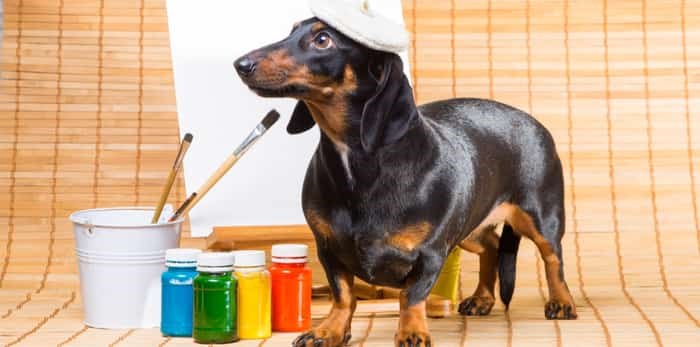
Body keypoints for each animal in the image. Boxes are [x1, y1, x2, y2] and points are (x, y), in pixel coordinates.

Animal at [234, 18, 576, 347]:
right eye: (291, 31)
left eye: (322, 39)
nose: (241, 64)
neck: (358, 165)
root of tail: (530, 119)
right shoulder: (327, 248)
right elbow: (343, 295)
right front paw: (329, 331)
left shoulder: (432, 254)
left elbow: (410, 297)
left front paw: (412, 332)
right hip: (469, 228)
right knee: (491, 246)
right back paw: (482, 298)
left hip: (540, 217)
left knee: (553, 258)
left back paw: (562, 302)